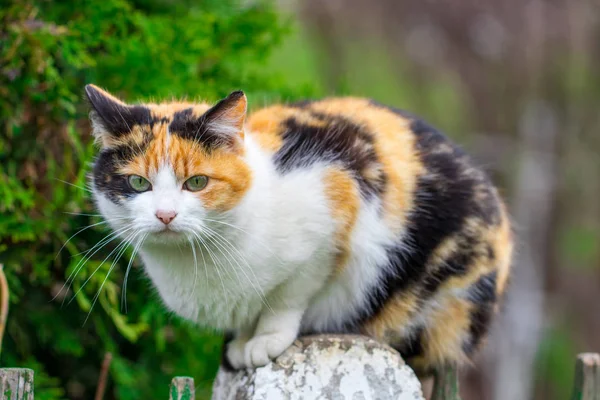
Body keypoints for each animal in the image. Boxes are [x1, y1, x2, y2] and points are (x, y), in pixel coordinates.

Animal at [86, 83, 512, 374]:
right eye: (138, 183)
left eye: (197, 183)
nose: (165, 215)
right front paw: (243, 340)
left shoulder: (334, 200)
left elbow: (288, 296)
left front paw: (264, 341)